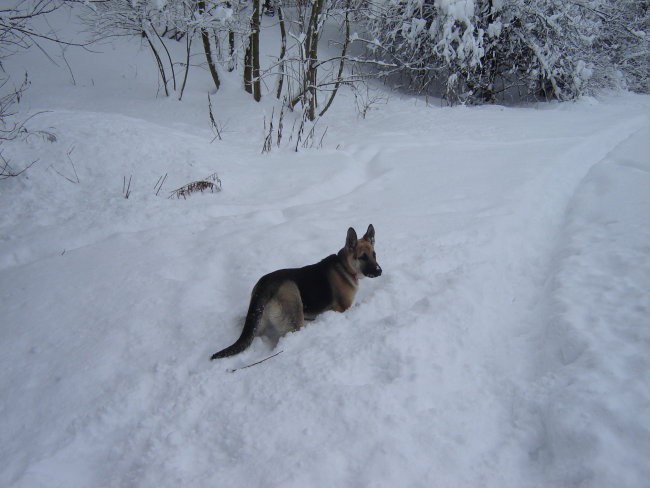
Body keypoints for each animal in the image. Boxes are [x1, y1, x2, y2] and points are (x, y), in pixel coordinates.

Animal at [210, 225, 380, 358]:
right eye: (363, 257)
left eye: (374, 254)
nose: (380, 271)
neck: (344, 266)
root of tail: (264, 285)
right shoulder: (343, 308)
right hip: (294, 313)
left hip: (259, 323)